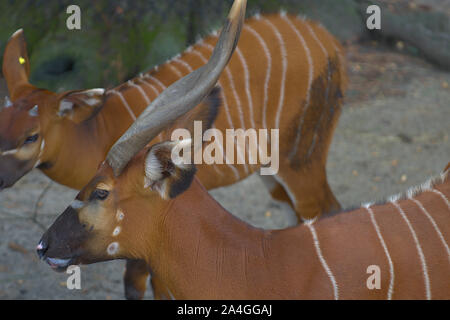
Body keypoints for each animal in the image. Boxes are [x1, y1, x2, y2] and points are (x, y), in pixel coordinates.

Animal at [0, 4, 346, 222]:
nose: (1, 179)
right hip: (270, 169)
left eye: (32, 136)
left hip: (301, 159)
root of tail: (330, 41)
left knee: (324, 208)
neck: (98, 128)